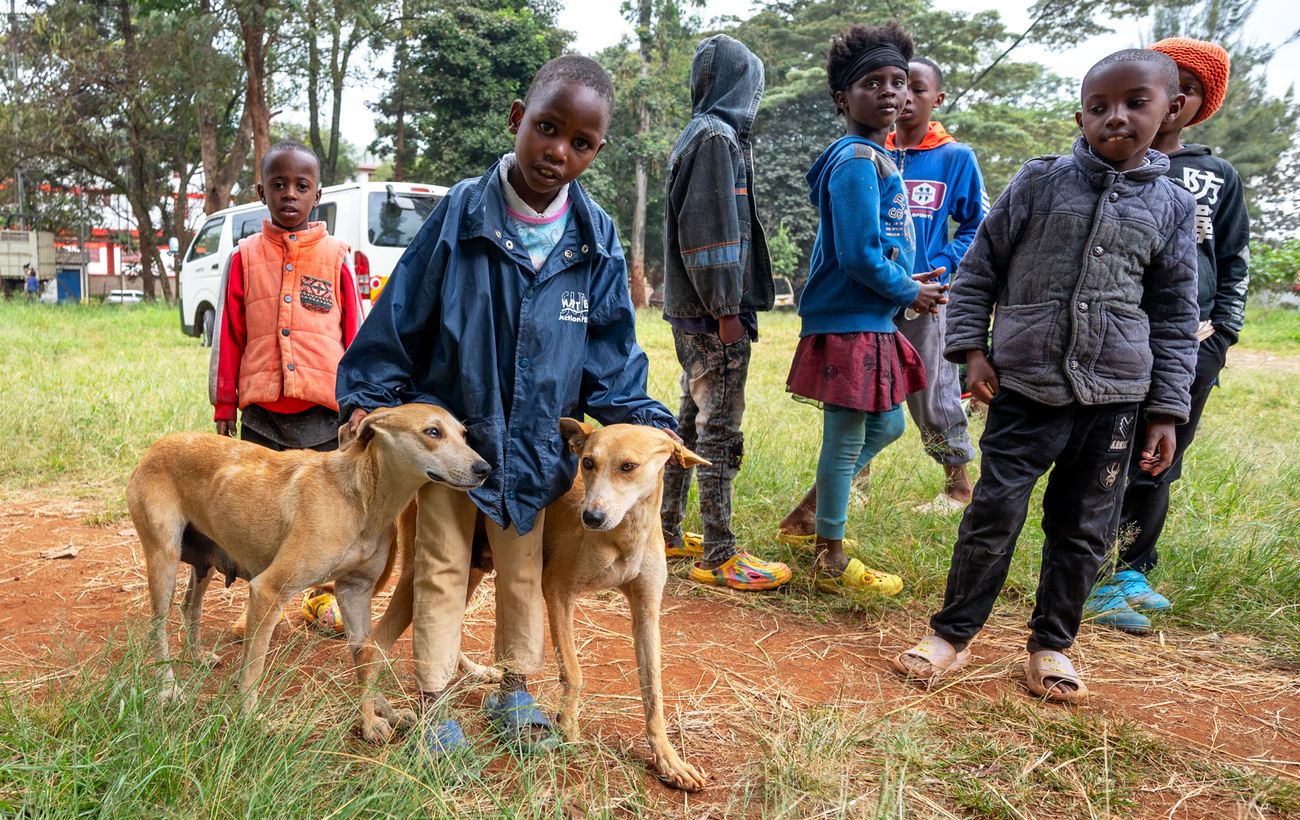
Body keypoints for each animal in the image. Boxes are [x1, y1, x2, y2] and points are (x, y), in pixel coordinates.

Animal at [126, 405, 488, 712]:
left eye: (464, 434)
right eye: (432, 432)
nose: (486, 468)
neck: (361, 498)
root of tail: (156, 446)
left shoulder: (354, 589)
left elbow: (367, 653)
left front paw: (377, 714)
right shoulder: (269, 589)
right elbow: (254, 664)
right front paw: (248, 717)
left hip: (205, 564)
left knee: (190, 607)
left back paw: (198, 657)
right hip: (164, 558)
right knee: (157, 626)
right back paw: (169, 689)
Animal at [358, 421, 712, 790]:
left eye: (628, 466)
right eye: (587, 463)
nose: (591, 517)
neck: (624, 537)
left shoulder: (647, 612)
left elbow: (653, 690)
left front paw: (668, 759)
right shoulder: (556, 588)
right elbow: (573, 671)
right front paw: (568, 726)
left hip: (472, 569)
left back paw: (472, 671)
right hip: (428, 567)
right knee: (371, 646)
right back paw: (371, 723)